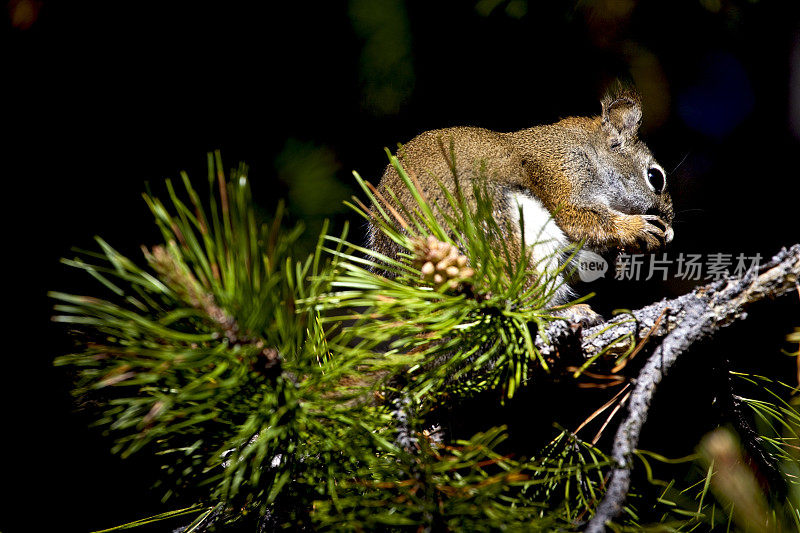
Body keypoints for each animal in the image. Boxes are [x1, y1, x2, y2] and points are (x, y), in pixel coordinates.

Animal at [368, 89, 676, 318]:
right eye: (655, 177)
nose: (672, 230)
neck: (587, 151)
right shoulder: (561, 176)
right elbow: (578, 218)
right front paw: (637, 227)